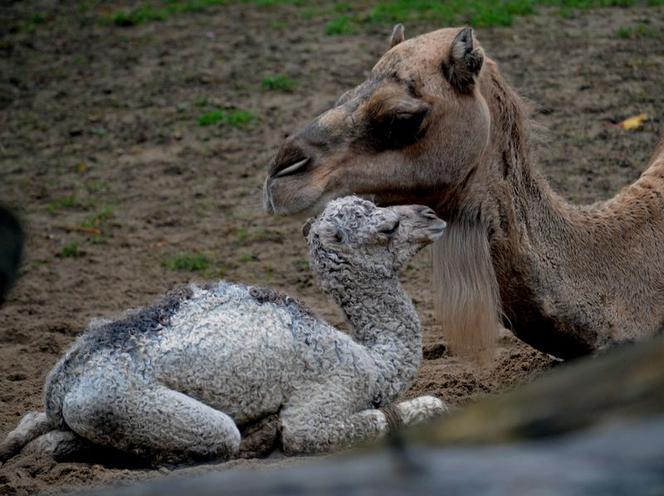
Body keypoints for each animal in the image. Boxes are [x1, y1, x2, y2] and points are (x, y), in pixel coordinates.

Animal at [1, 197, 446, 464]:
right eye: (388, 227)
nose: (433, 216)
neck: (374, 361)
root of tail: (60, 387)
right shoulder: (330, 388)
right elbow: (315, 431)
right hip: (114, 402)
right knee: (221, 436)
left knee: (35, 428)